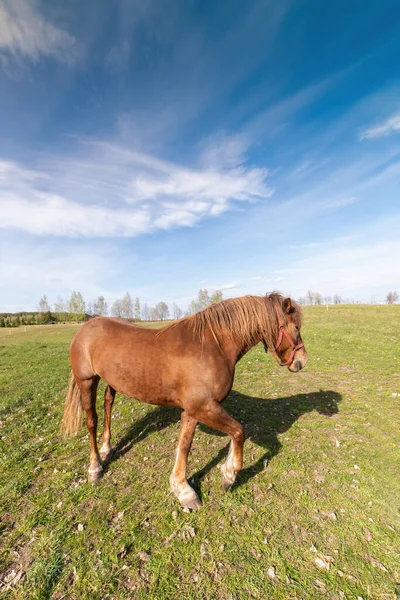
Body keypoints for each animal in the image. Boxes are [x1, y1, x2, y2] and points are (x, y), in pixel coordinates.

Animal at [61, 292, 306, 508]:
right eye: (296, 328)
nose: (302, 361)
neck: (212, 346)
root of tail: (85, 328)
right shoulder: (203, 407)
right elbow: (238, 432)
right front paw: (229, 475)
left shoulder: (193, 410)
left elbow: (185, 444)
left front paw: (182, 488)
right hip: (87, 381)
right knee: (91, 421)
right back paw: (95, 467)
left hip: (113, 381)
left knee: (108, 404)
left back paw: (107, 447)